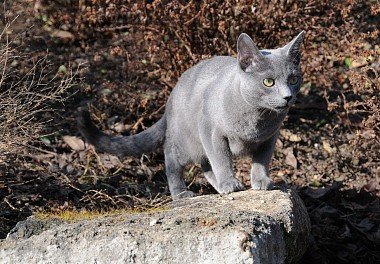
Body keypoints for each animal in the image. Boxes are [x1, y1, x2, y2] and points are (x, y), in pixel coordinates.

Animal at [75, 32, 304, 199]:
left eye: (293, 79)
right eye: (268, 82)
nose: (287, 97)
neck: (257, 119)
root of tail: (170, 99)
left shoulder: (270, 137)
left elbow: (261, 160)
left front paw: (261, 181)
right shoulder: (211, 131)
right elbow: (221, 159)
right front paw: (230, 182)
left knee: (204, 164)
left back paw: (217, 186)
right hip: (186, 139)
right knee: (172, 157)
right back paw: (181, 192)